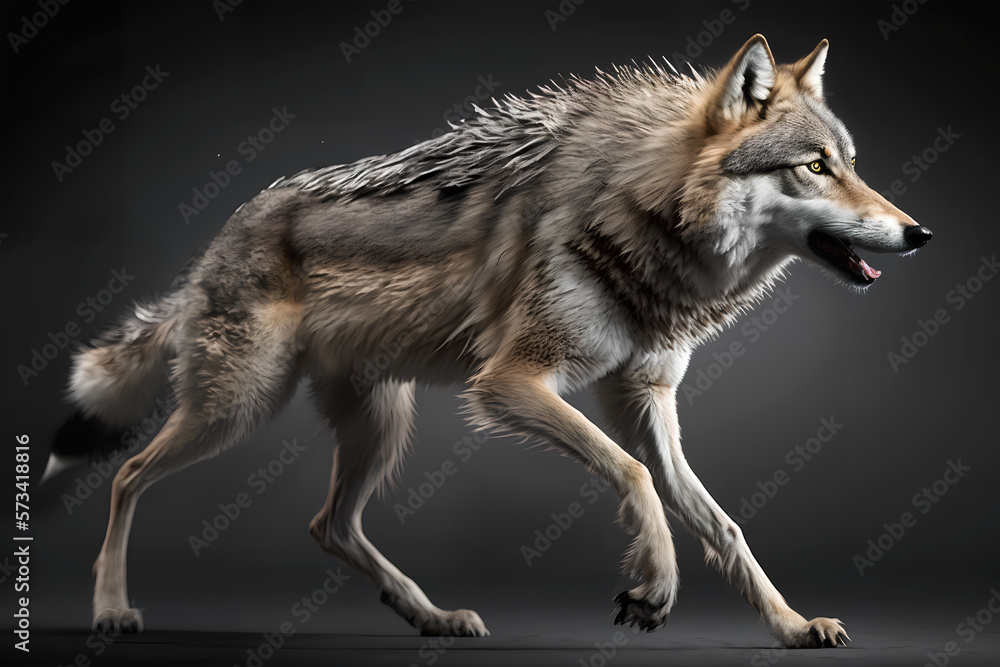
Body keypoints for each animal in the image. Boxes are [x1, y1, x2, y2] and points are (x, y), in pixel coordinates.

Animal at [48, 35, 931, 648]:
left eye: (853, 163)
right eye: (816, 166)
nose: (919, 233)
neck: (642, 214)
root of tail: (215, 243)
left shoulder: (645, 400)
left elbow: (724, 525)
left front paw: (791, 624)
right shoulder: (511, 382)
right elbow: (636, 476)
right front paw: (653, 590)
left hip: (378, 424)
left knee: (328, 525)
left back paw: (431, 615)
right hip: (240, 408)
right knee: (127, 471)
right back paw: (112, 607)